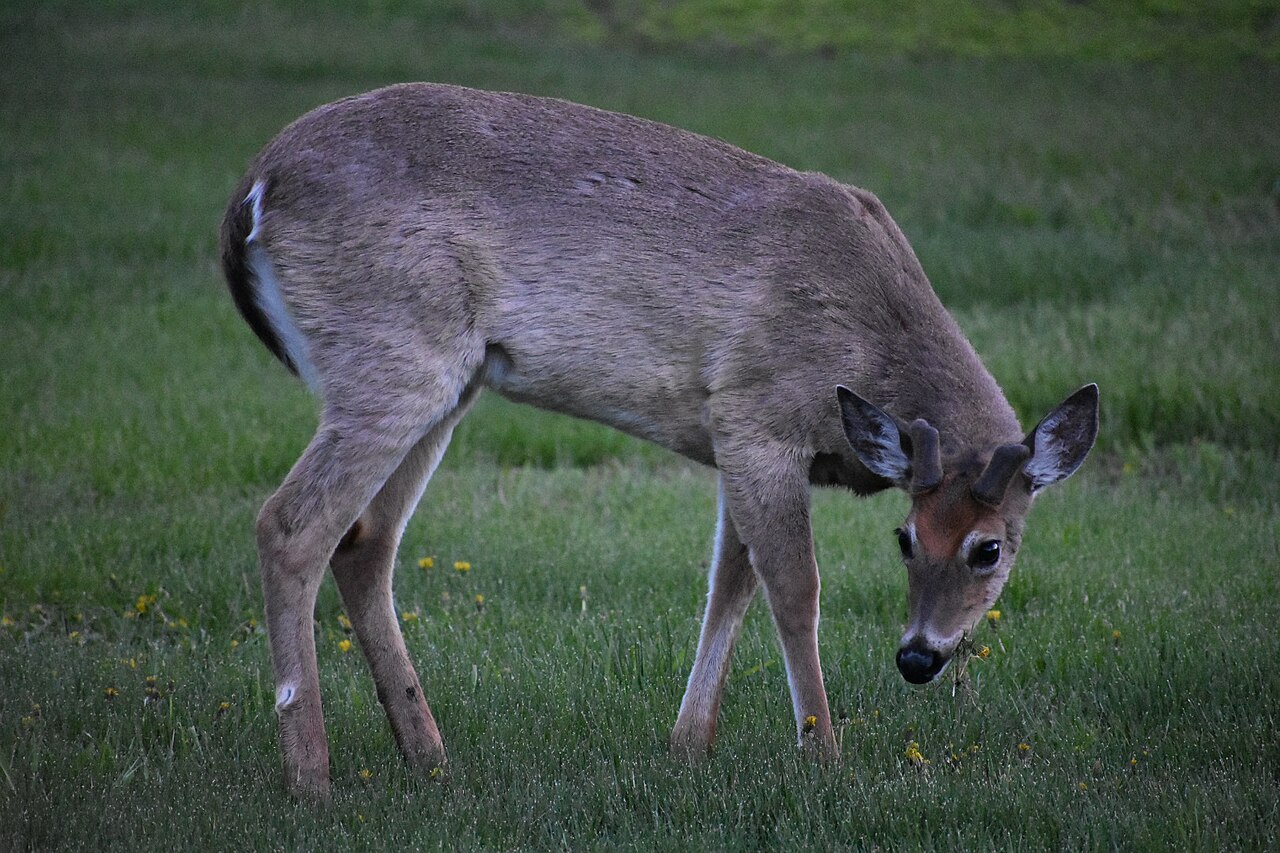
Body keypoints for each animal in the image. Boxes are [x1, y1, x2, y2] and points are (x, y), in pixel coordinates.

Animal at [219, 82, 1098, 798]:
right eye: (907, 537)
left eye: (990, 548)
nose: (919, 656)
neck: (869, 334)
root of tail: (253, 188)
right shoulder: (756, 413)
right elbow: (793, 588)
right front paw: (822, 757)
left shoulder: (738, 440)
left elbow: (730, 584)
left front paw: (688, 745)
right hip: (393, 350)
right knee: (291, 523)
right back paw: (312, 777)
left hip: (447, 381)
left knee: (365, 540)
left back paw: (429, 756)